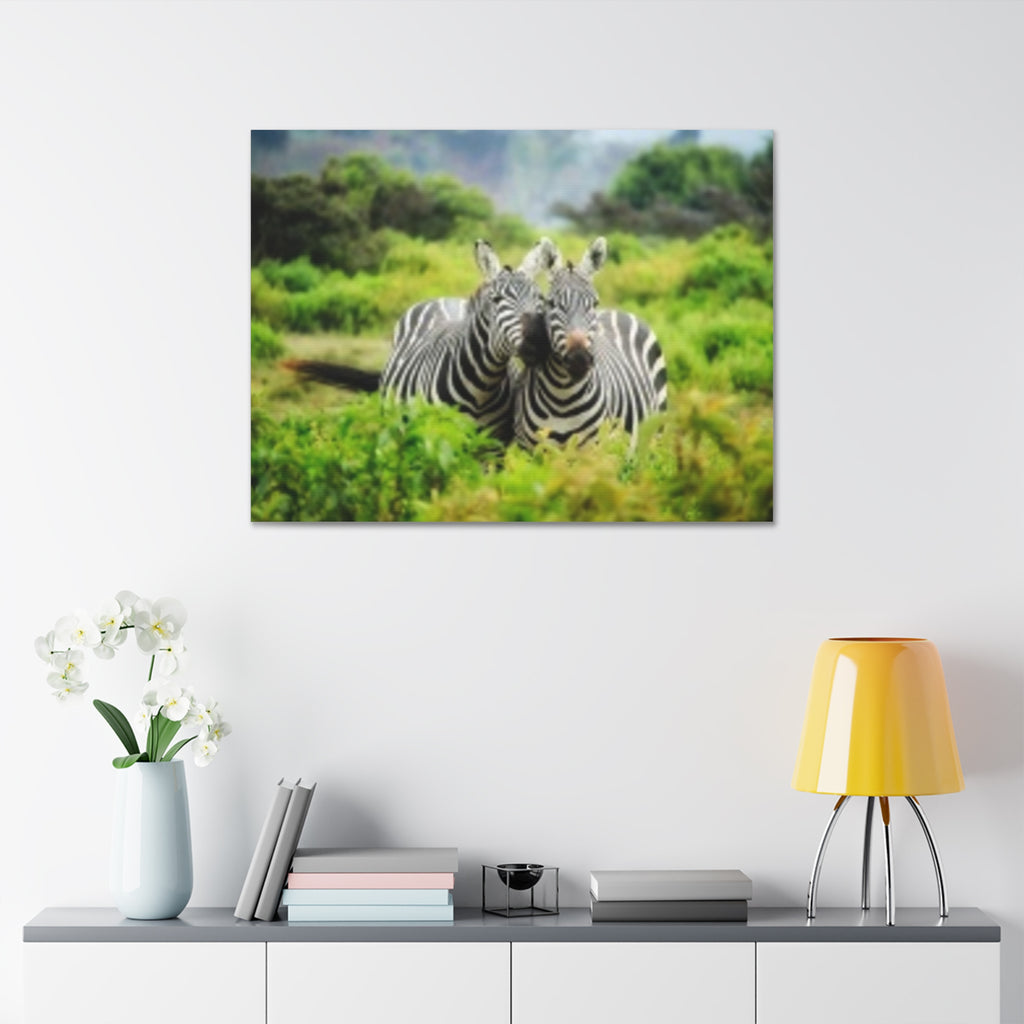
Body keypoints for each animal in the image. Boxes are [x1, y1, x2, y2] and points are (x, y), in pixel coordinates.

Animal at [286, 237, 556, 442]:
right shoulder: (438, 438)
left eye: (541, 299)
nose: (538, 342)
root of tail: (443, 298)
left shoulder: (495, 446)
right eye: (497, 300)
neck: (482, 386)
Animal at [513, 237, 669, 451]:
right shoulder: (529, 450)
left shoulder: (593, 449)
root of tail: (617, 311)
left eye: (594, 303)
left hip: (654, 435)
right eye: (551, 303)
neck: (562, 397)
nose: (579, 359)